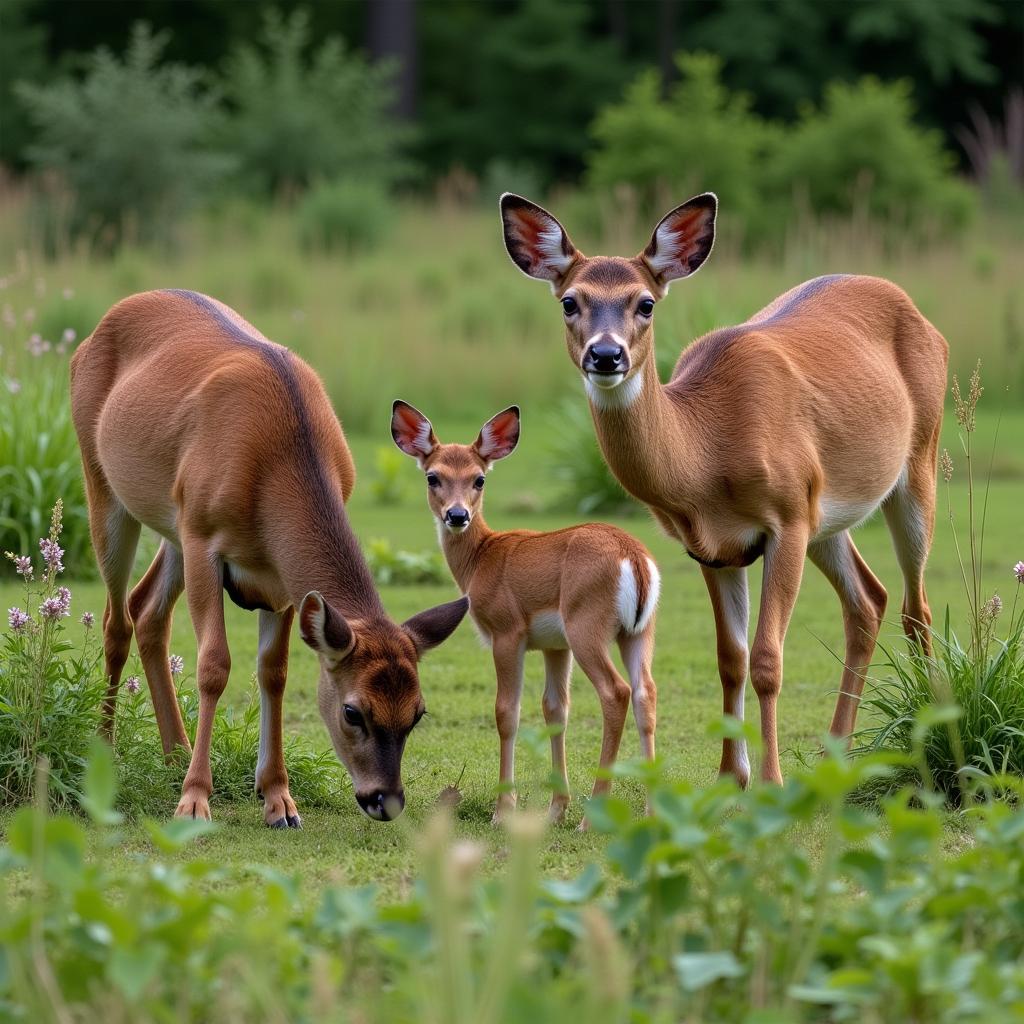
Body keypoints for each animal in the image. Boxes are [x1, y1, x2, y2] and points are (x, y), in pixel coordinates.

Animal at [72, 288, 468, 823]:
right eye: (353, 711)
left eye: (417, 713)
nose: (385, 801)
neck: (274, 462)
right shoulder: (204, 539)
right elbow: (214, 666)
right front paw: (195, 800)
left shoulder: (277, 575)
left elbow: (274, 673)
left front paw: (279, 799)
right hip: (105, 485)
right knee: (117, 618)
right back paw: (107, 752)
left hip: (173, 522)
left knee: (147, 609)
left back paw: (175, 752)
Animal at [387, 399, 659, 823]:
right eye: (433, 477)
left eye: (479, 479)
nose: (457, 515)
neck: (482, 558)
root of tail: (635, 558)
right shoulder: (554, 646)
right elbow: (555, 710)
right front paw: (555, 809)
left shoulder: (507, 631)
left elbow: (506, 713)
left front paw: (504, 810)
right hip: (638, 633)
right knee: (646, 693)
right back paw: (650, 811)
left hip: (587, 626)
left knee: (616, 692)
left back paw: (592, 817)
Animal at [499, 192, 946, 782]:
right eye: (570, 302)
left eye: (645, 303)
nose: (606, 355)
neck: (709, 451)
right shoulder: (714, 547)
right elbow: (730, 661)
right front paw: (731, 776)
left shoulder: (787, 518)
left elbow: (767, 661)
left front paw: (773, 781)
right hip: (827, 515)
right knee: (869, 601)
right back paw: (836, 753)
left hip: (917, 462)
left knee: (917, 608)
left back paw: (929, 734)